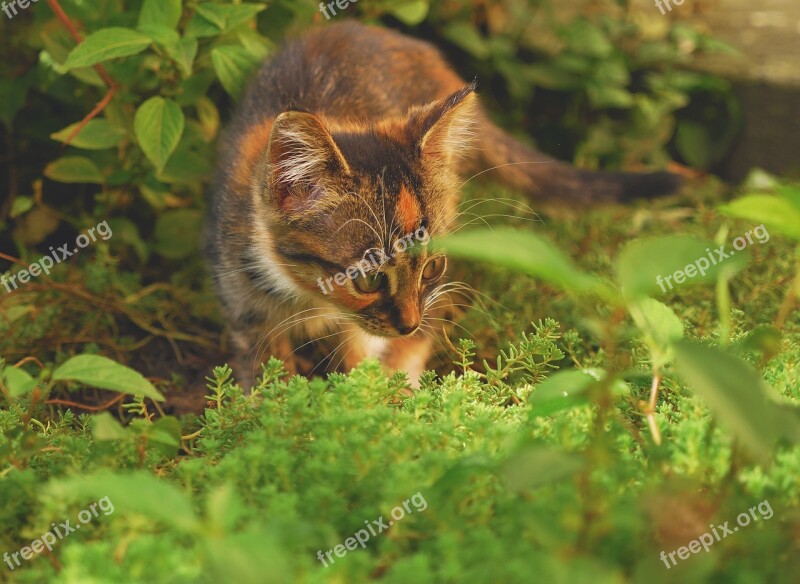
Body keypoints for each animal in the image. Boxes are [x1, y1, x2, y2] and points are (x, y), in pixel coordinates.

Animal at [206, 20, 680, 388]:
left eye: (432, 266)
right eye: (367, 279)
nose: (409, 322)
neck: (309, 298)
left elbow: (365, 365)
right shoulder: (242, 306)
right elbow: (264, 380)